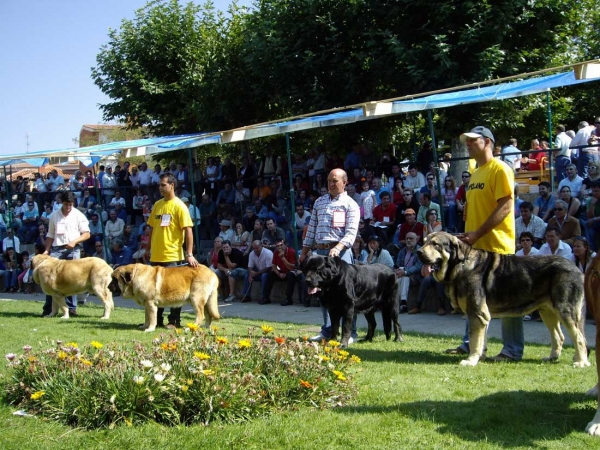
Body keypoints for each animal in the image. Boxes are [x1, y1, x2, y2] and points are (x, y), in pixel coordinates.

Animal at [418, 232, 592, 370]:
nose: (418, 252)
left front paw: (471, 361)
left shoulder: (477, 313)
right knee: (559, 336)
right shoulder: (481, 315)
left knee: (579, 338)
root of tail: (577, 269)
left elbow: (474, 340)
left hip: (565, 311)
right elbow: (481, 340)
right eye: (424, 241)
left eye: (435, 244)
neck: (460, 263)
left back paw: (581, 362)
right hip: (547, 311)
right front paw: (480, 357)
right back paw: (552, 358)